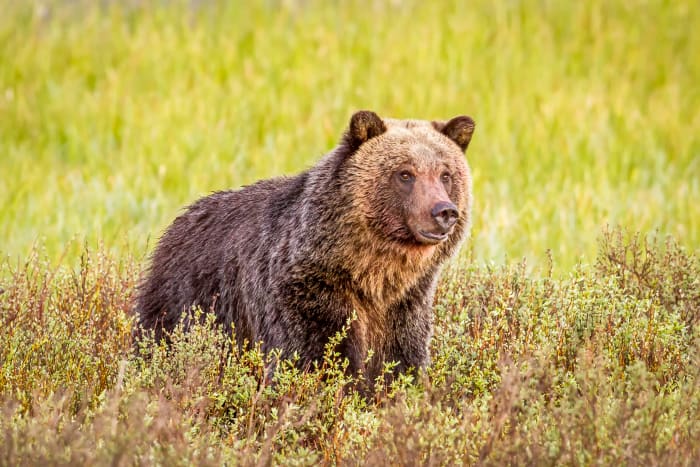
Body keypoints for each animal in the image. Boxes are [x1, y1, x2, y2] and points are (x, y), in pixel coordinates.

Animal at [135, 111, 476, 386]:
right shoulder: (306, 295)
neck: (369, 274)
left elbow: (400, 366)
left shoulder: (405, 307)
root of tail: (176, 224)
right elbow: (313, 359)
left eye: (446, 174)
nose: (443, 211)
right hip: (187, 301)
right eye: (405, 173)